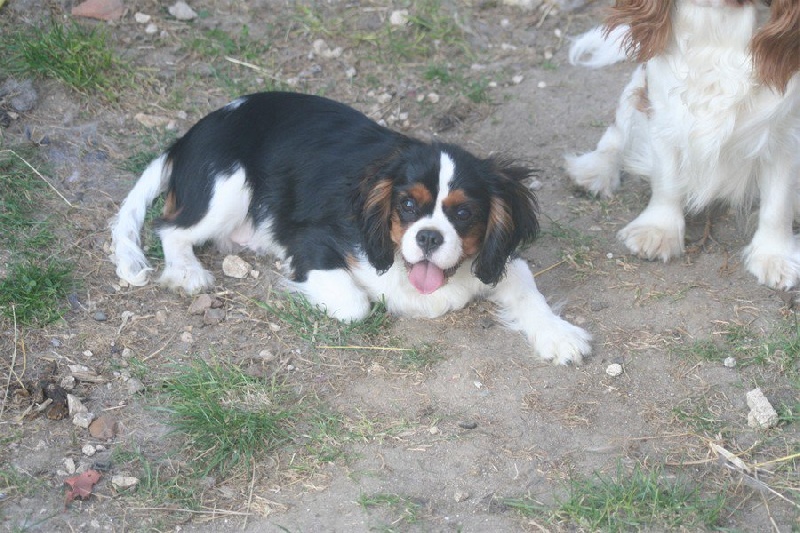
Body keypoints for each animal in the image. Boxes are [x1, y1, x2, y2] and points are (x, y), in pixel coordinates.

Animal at [109, 92, 592, 366]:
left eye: (463, 214)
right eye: (407, 205)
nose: (429, 237)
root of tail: (187, 137)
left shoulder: (498, 259)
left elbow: (527, 289)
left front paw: (559, 335)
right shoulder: (312, 241)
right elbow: (355, 304)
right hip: (228, 187)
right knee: (172, 228)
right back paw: (188, 272)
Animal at [564, 0, 800, 288]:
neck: (716, 35)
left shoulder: (787, 134)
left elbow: (778, 204)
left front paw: (774, 256)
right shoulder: (662, 113)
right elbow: (666, 181)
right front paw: (658, 230)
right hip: (637, 87)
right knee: (616, 134)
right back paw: (596, 169)